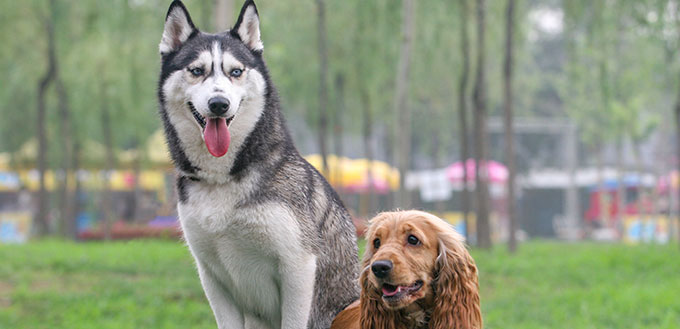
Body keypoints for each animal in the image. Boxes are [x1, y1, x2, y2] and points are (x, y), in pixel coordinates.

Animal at [158, 1, 362, 326]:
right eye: (197, 71)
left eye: (236, 72)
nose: (219, 104)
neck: (223, 179)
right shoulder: (211, 276)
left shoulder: (298, 265)